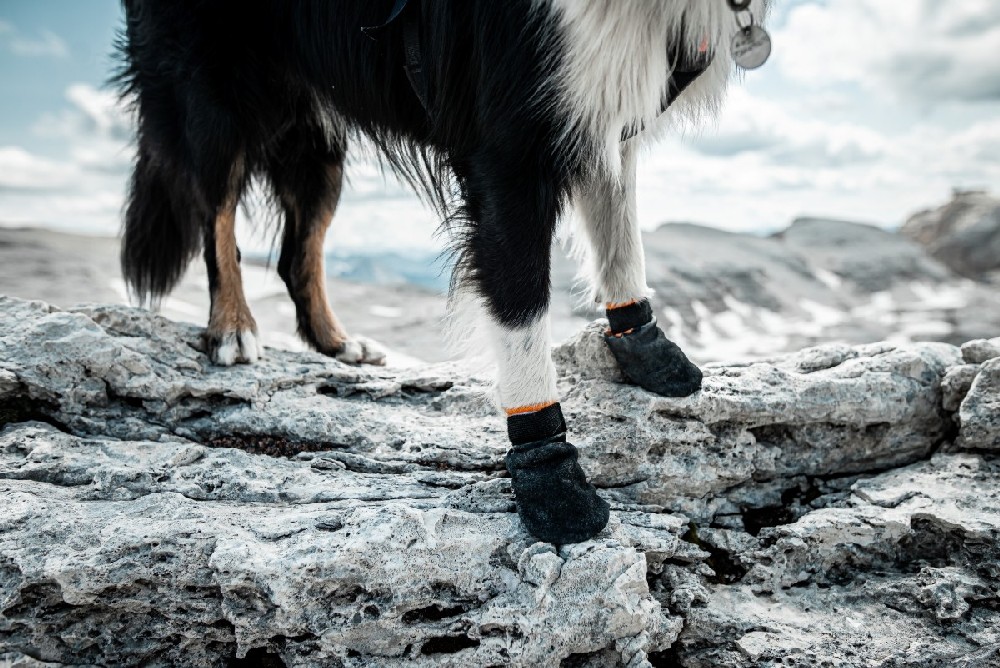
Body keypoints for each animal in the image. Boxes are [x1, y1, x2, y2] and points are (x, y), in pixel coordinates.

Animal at [119, 0, 772, 544]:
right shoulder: (512, 142)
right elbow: (521, 309)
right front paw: (551, 477)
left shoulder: (600, 107)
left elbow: (621, 240)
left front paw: (646, 345)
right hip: (214, 90)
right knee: (216, 214)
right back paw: (232, 327)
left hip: (317, 125)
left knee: (295, 253)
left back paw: (336, 343)